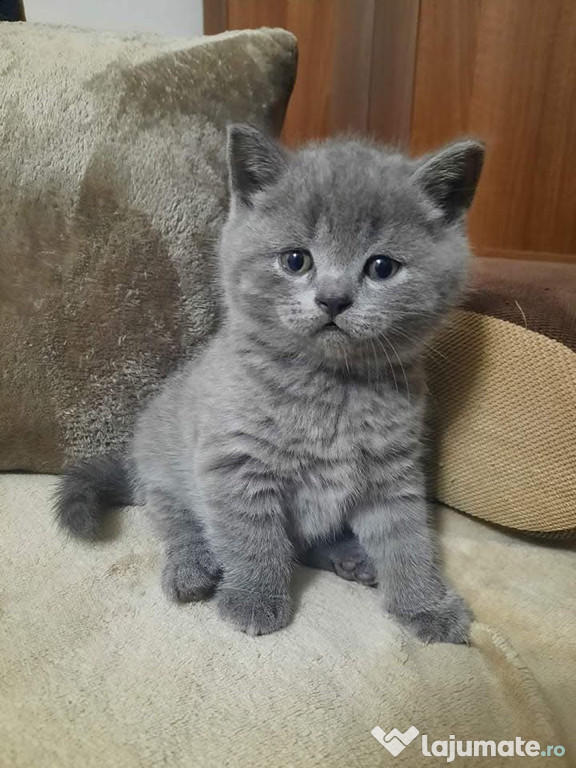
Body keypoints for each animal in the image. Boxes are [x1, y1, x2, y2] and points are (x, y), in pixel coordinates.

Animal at [56, 124, 484, 640]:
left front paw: (426, 606)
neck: (330, 388)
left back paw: (351, 556)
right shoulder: (234, 463)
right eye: (296, 260)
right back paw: (193, 567)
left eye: (382, 267)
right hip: (162, 469)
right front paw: (254, 598)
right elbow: (254, 538)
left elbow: (408, 542)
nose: (333, 299)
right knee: (175, 519)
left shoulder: (393, 473)